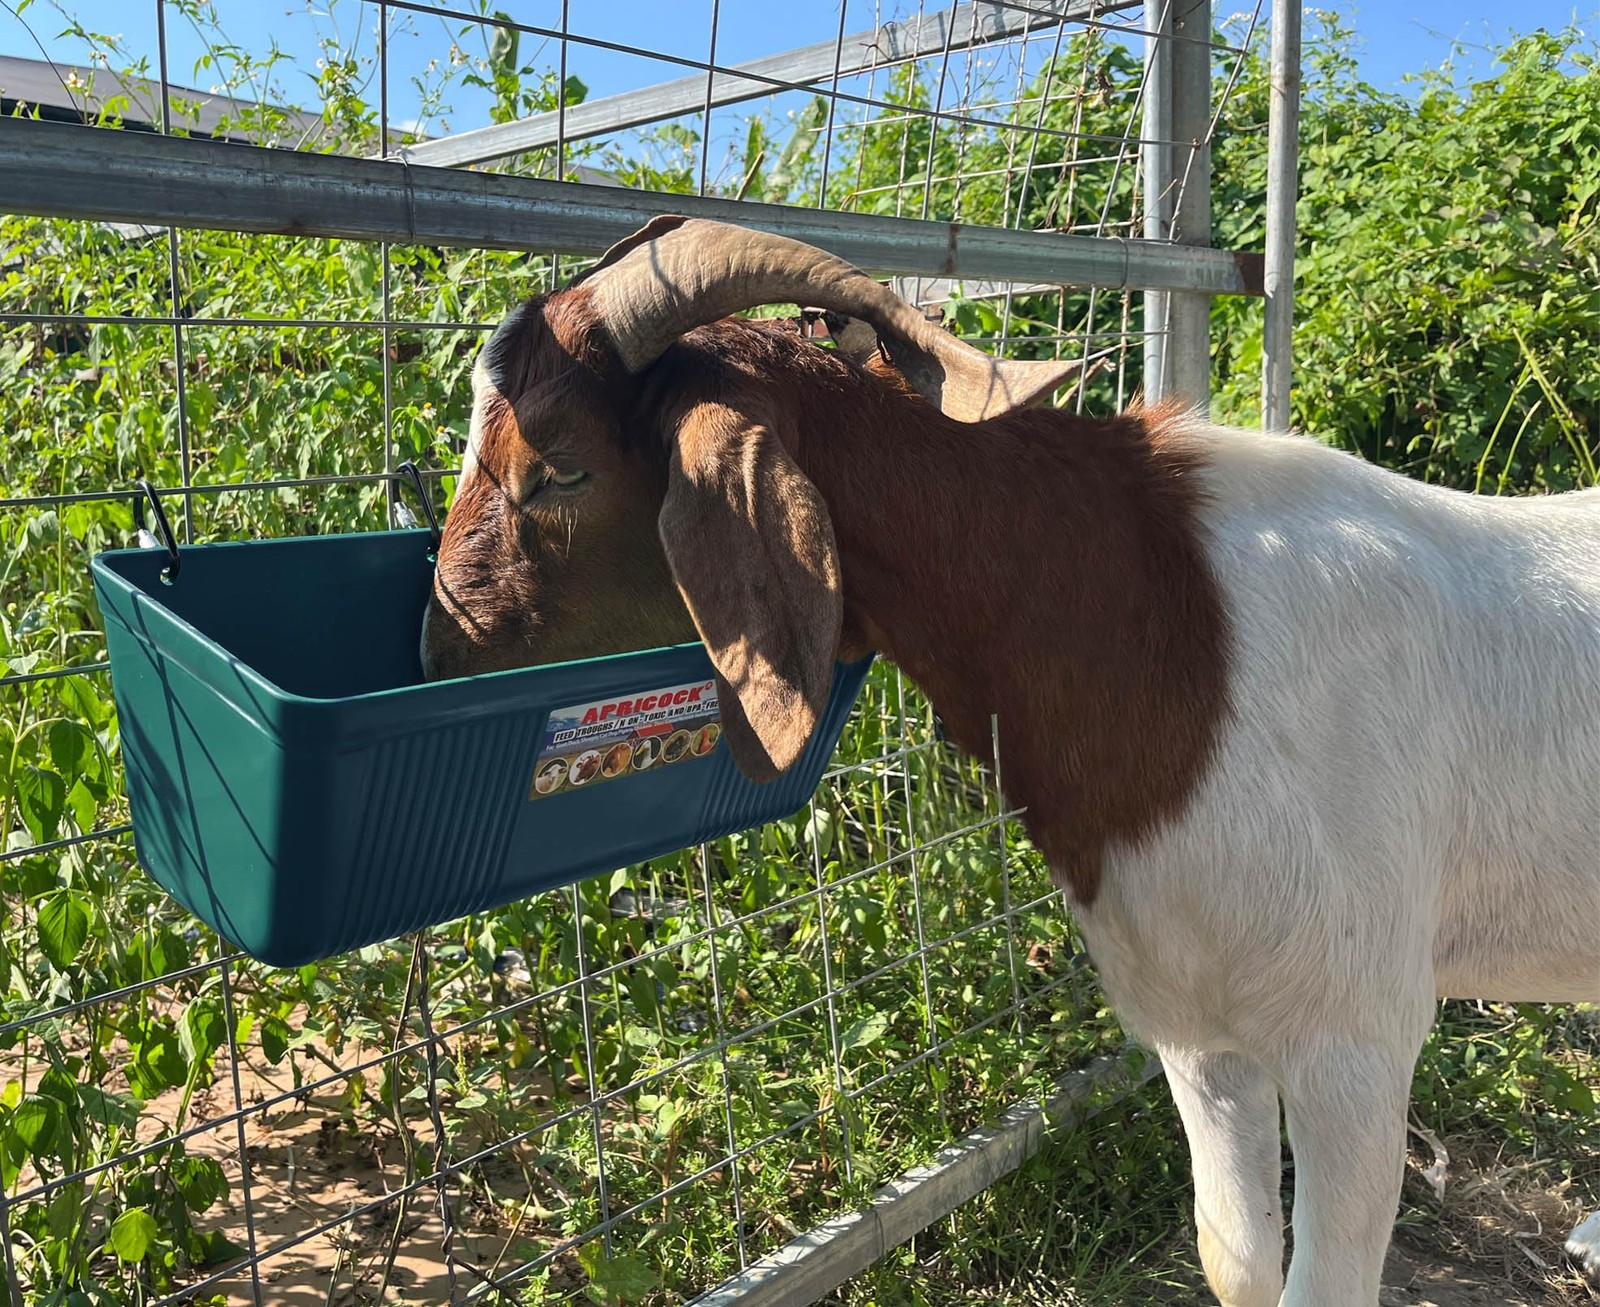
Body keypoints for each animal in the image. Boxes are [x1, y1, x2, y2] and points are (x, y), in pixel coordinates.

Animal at [422, 215, 1600, 1307]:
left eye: (558, 469)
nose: (435, 646)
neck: (1174, 630)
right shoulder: (1195, 1023)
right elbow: (1234, 1262)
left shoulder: (1354, 1038)